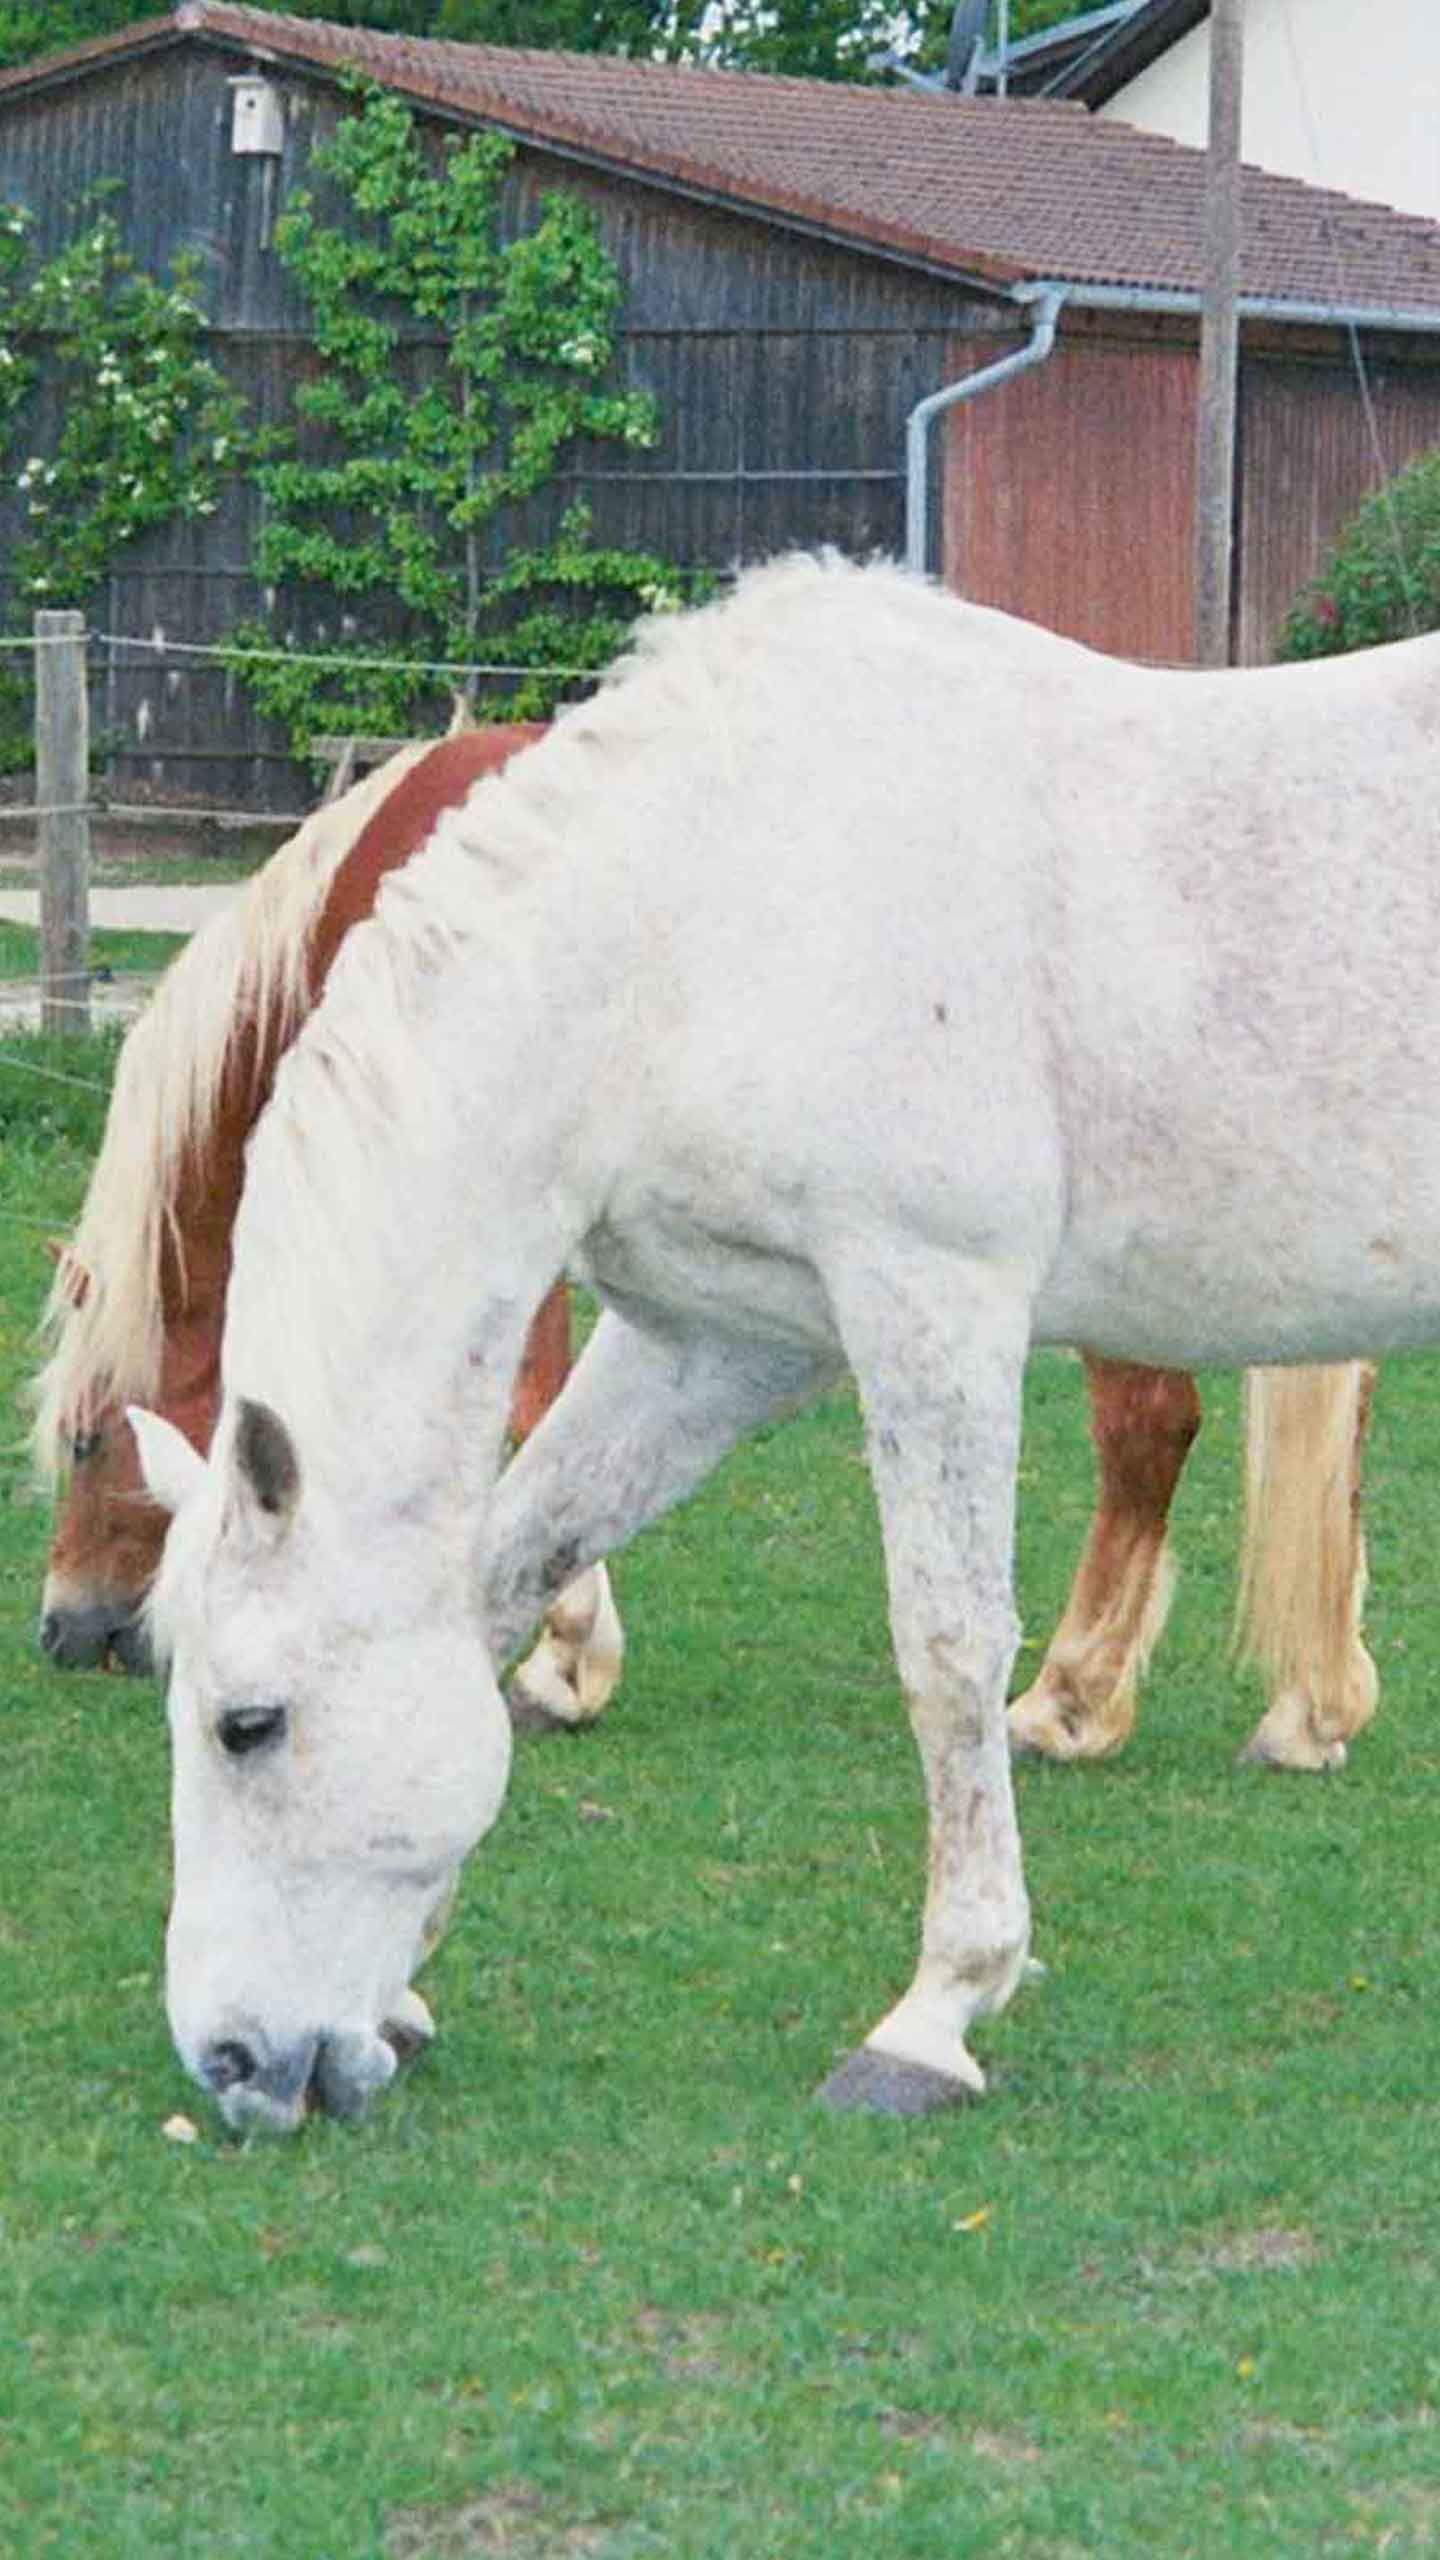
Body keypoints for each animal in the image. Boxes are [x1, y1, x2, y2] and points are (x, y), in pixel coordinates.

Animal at [131, 550, 1439, 2132]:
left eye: (249, 1723)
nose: (232, 2064)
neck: (704, 915)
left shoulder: (932, 1300)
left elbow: (948, 1650)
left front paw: (939, 2009)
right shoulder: (714, 1341)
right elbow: (510, 1569)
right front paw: (407, 1982)